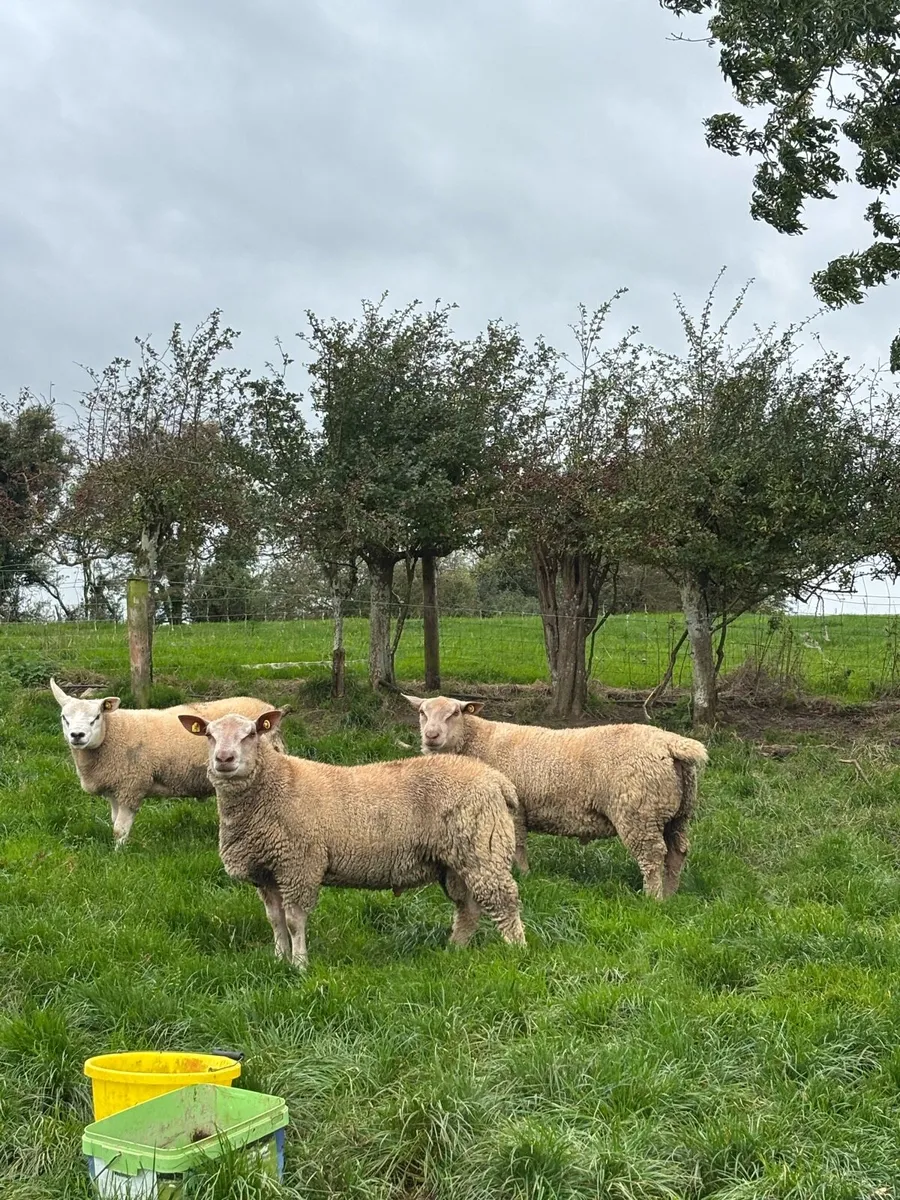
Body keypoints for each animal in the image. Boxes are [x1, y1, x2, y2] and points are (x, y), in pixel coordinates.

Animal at [49, 678, 287, 848]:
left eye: (96, 717)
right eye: (63, 717)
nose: (77, 735)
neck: (112, 733)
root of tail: (269, 708)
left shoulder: (132, 784)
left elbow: (120, 829)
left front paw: (118, 856)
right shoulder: (116, 789)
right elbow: (114, 822)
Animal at [178, 708, 526, 967]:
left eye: (250, 734)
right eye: (208, 735)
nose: (224, 759)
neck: (274, 787)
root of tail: (497, 780)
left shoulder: (299, 865)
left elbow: (294, 921)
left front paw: (299, 965)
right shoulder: (267, 871)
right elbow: (275, 920)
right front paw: (279, 960)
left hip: (482, 847)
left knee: (504, 899)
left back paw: (517, 950)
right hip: (457, 858)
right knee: (468, 908)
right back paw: (454, 949)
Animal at [403, 694, 709, 900]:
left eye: (454, 713)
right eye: (422, 712)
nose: (431, 735)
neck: (478, 741)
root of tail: (670, 743)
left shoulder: (514, 809)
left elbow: (518, 845)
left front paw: (525, 874)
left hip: (639, 812)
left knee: (653, 855)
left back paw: (652, 898)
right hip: (676, 813)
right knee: (678, 852)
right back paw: (670, 894)